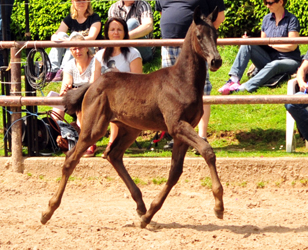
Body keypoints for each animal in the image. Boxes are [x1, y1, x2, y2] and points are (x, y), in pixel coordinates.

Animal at [41, 6, 224, 229]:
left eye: (215, 34)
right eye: (199, 36)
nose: (216, 61)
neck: (181, 81)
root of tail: (92, 85)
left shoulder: (181, 133)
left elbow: (175, 173)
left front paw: (149, 215)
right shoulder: (177, 126)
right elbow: (207, 151)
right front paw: (219, 206)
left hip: (130, 129)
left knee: (113, 155)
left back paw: (141, 206)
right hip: (94, 128)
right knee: (71, 160)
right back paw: (47, 211)